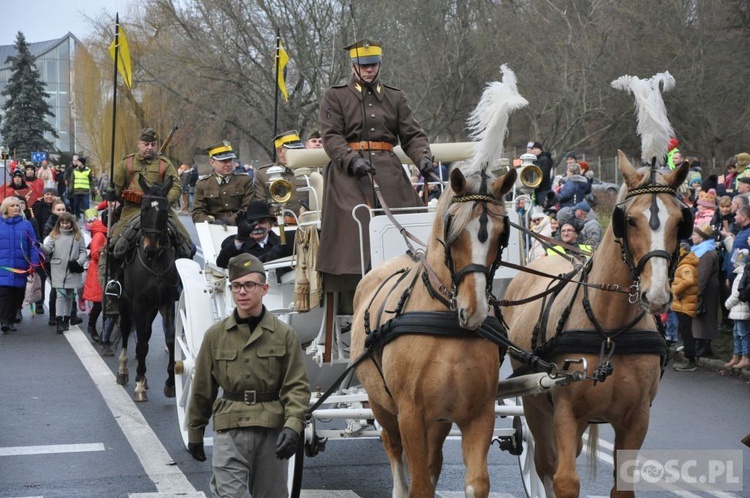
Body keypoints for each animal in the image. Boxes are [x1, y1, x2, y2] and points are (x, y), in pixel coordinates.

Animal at [116, 177, 181, 402]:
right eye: (144, 209)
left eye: (164, 210)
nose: (151, 246)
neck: (155, 263)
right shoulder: (138, 303)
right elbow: (142, 341)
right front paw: (139, 384)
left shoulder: (167, 302)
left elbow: (170, 338)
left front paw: (170, 383)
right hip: (125, 303)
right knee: (127, 329)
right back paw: (124, 371)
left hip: (152, 307)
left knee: (146, 330)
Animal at [352, 161, 516, 496]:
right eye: (452, 233)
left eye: (501, 235)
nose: (474, 310)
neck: (447, 327)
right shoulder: (410, 415)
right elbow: (419, 485)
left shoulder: (479, 413)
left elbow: (475, 483)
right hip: (380, 404)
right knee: (392, 445)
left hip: (439, 419)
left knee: (434, 458)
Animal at [506, 152, 692, 498]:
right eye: (629, 220)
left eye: (679, 221)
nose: (657, 295)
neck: (609, 331)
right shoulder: (565, 412)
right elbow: (564, 480)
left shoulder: (636, 418)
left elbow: (623, 487)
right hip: (534, 402)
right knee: (544, 463)